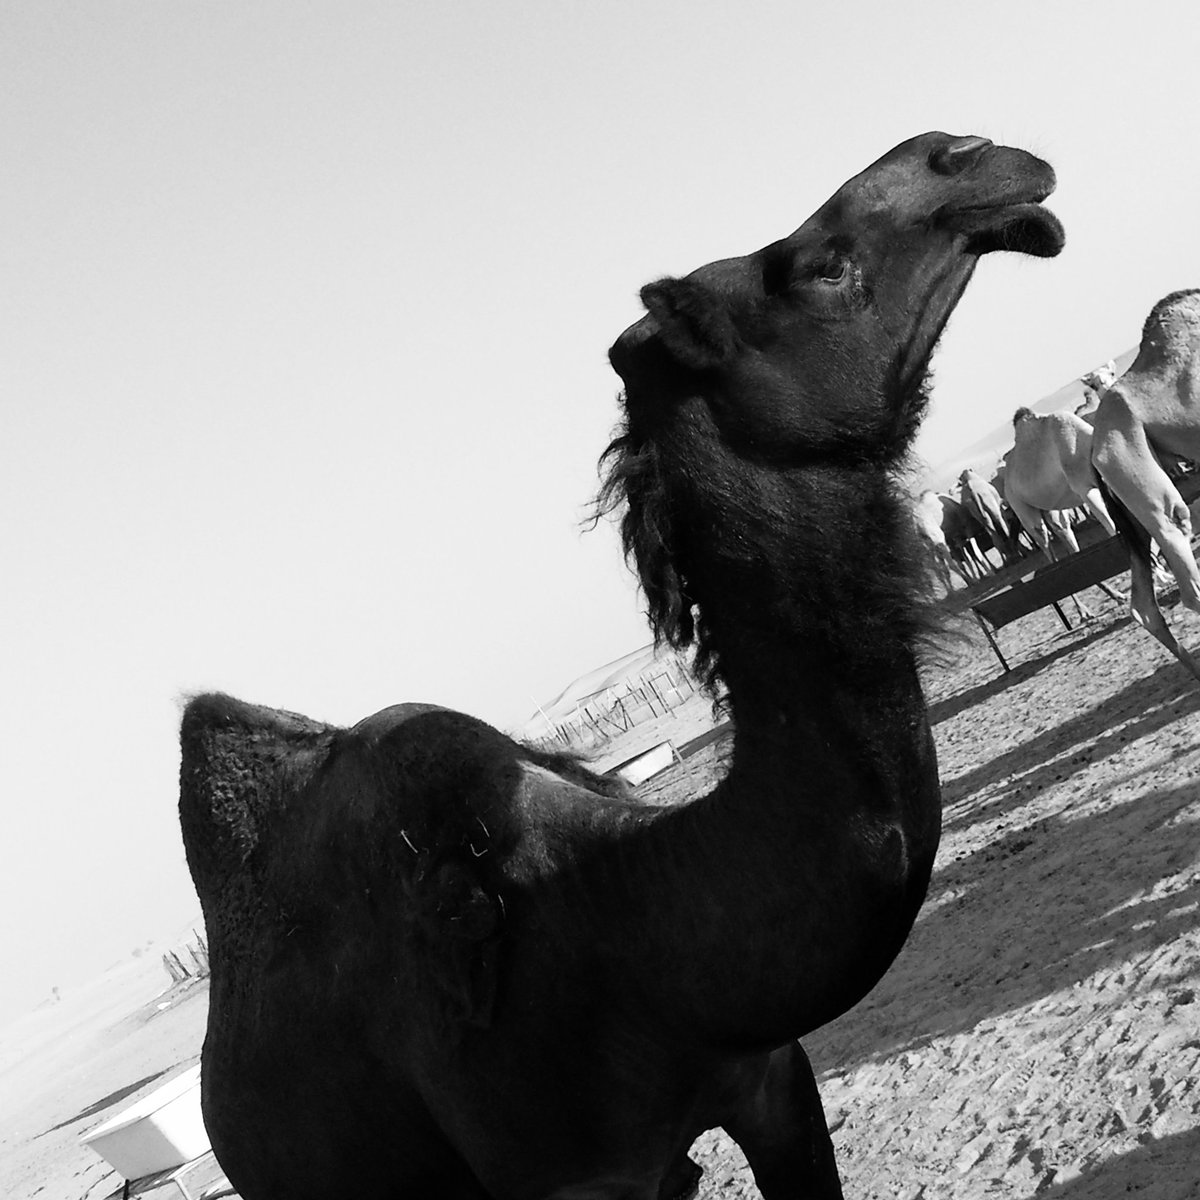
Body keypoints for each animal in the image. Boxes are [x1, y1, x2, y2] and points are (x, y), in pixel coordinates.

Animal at [1003, 406, 1117, 561]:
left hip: (1050, 505)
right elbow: (1111, 525)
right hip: (1020, 506)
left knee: (1061, 527)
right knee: (1043, 537)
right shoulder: (1084, 488)